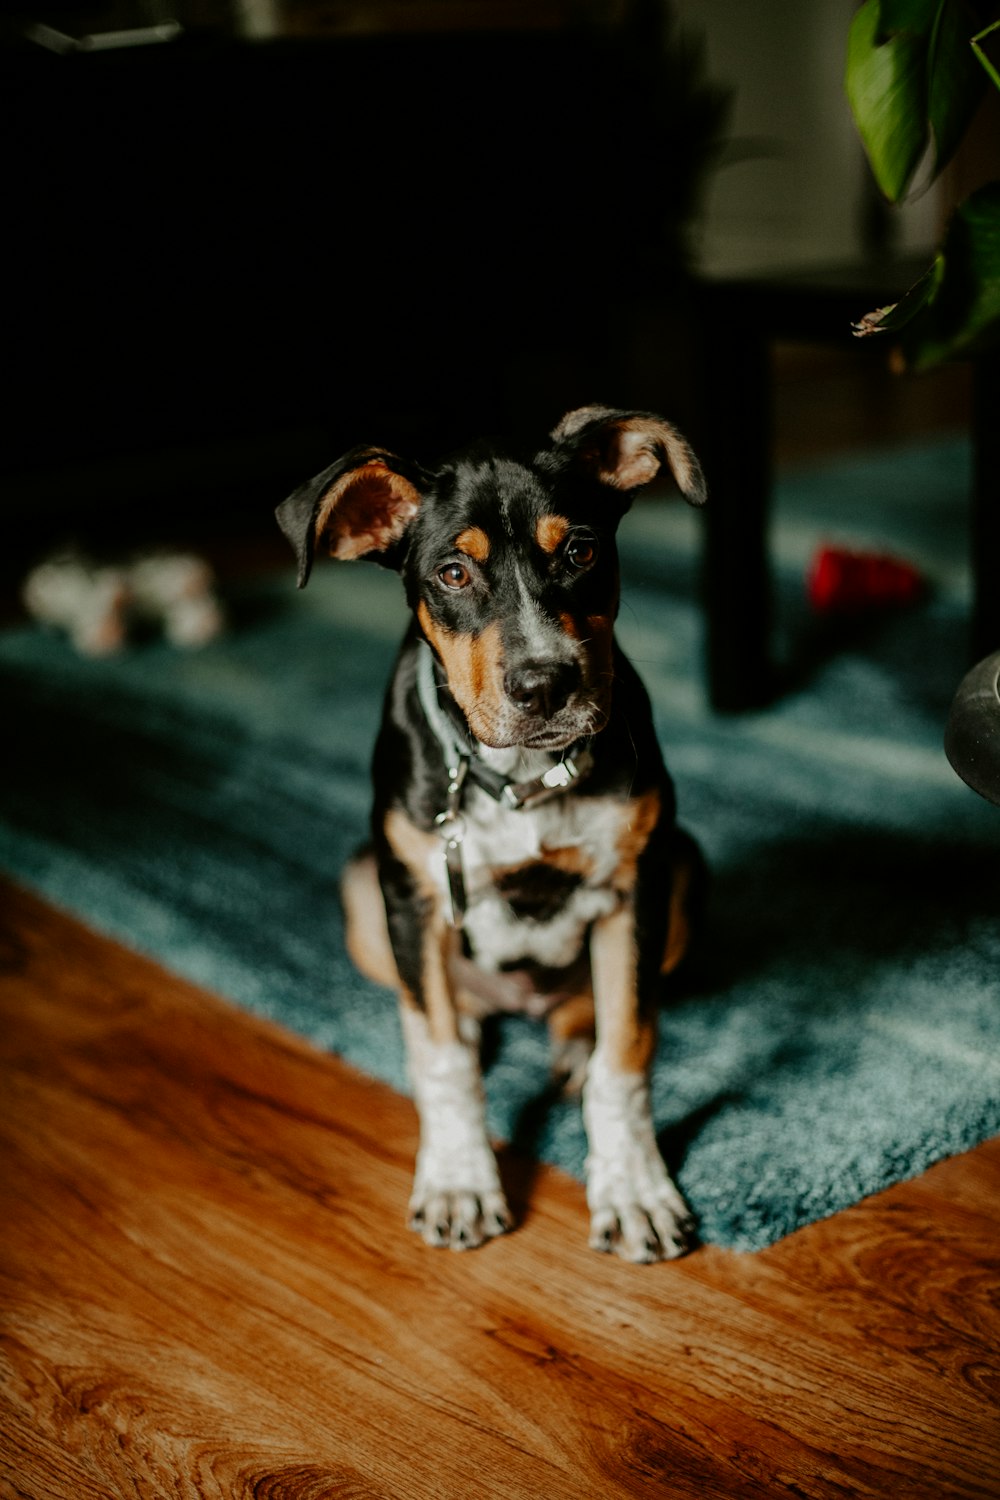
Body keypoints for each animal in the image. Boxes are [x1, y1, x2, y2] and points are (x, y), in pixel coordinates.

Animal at [277, 405, 707, 1260]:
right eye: (452, 573)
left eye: (580, 550)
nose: (544, 686)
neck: (522, 780)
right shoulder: (411, 893)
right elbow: (443, 1062)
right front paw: (458, 1181)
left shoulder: (638, 888)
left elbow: (626, 1053)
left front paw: (634, 1191)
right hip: (364, 893)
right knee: (437, 1011)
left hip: (684, 869)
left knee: (584, 1013)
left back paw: (570, 1043)